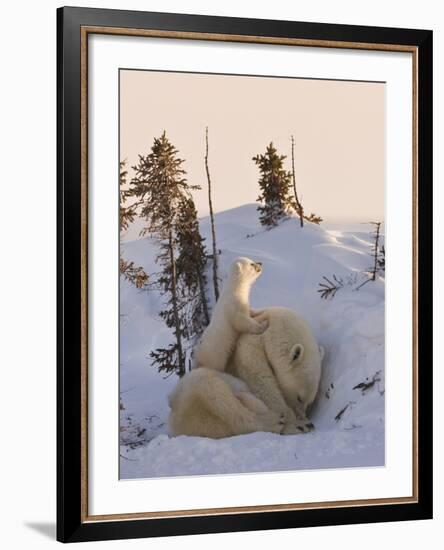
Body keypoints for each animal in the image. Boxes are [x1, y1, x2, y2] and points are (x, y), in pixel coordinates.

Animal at [227, 306, 324, 436]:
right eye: (299, 398)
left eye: (310, 402)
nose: (302, 416)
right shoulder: (249, 346)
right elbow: (261, 381)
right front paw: (299, 425)